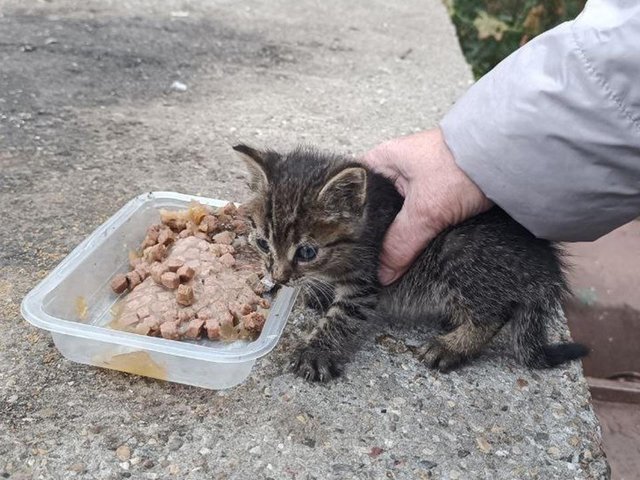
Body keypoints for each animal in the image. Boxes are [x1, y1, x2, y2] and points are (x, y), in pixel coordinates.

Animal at [232, 144, 588, 380]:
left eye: (306, 252)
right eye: (262, 243)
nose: (278, 278)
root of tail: (546, 265)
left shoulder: (367, 282)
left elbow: (342, 317)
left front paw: (317, 350)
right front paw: (318, 293)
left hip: (459, 254)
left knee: (494, 315)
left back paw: (452, 346)